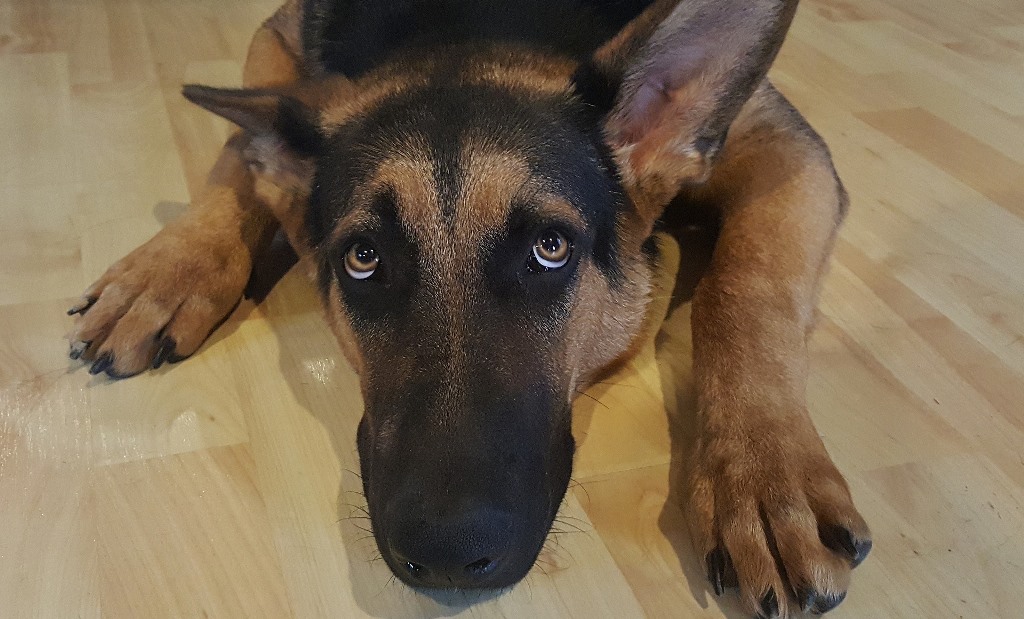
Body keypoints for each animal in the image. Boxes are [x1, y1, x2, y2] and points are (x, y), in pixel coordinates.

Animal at [67, 0, 872, 615]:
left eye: (551, 247)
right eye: (364, 258)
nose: (449, 554)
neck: (471, 20)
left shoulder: (781, 145)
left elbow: (745, 288)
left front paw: (764, 478)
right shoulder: (278, 39)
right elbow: (243, 149)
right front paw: (168, 267)